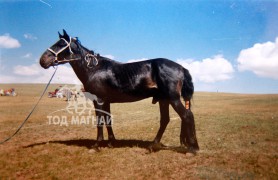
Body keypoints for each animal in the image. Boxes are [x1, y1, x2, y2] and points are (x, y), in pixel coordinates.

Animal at [39, 29, 200, 153]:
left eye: (60, 44)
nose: (42, 60)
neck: (94, 69)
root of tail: (181, 67)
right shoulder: (106, 101)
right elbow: (108, 120)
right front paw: (111, 142)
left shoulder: (98, 100)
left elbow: (100, 121)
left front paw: (96, 145)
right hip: (164, 99)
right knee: (165, 120)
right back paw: (153, 145)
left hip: (173, 98)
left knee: (187, 116)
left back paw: (193, 149)